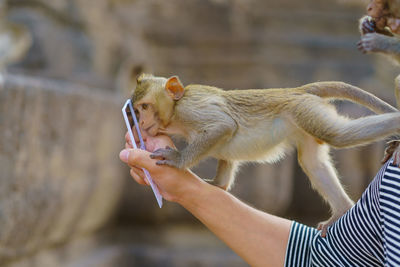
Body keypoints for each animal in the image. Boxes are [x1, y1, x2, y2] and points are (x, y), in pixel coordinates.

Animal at [132, 74, 400, 237]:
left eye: (144, 107)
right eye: (136, 110)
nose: (140, 123)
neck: (175, 111)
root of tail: (296, 91)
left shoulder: (191, 109)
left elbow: (223, 126)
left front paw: (176, 160)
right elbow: (224, 153)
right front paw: (217, 185)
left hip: (304, 109)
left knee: (336, 135)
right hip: (305, 120)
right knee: (312, 163)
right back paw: (342, 211)